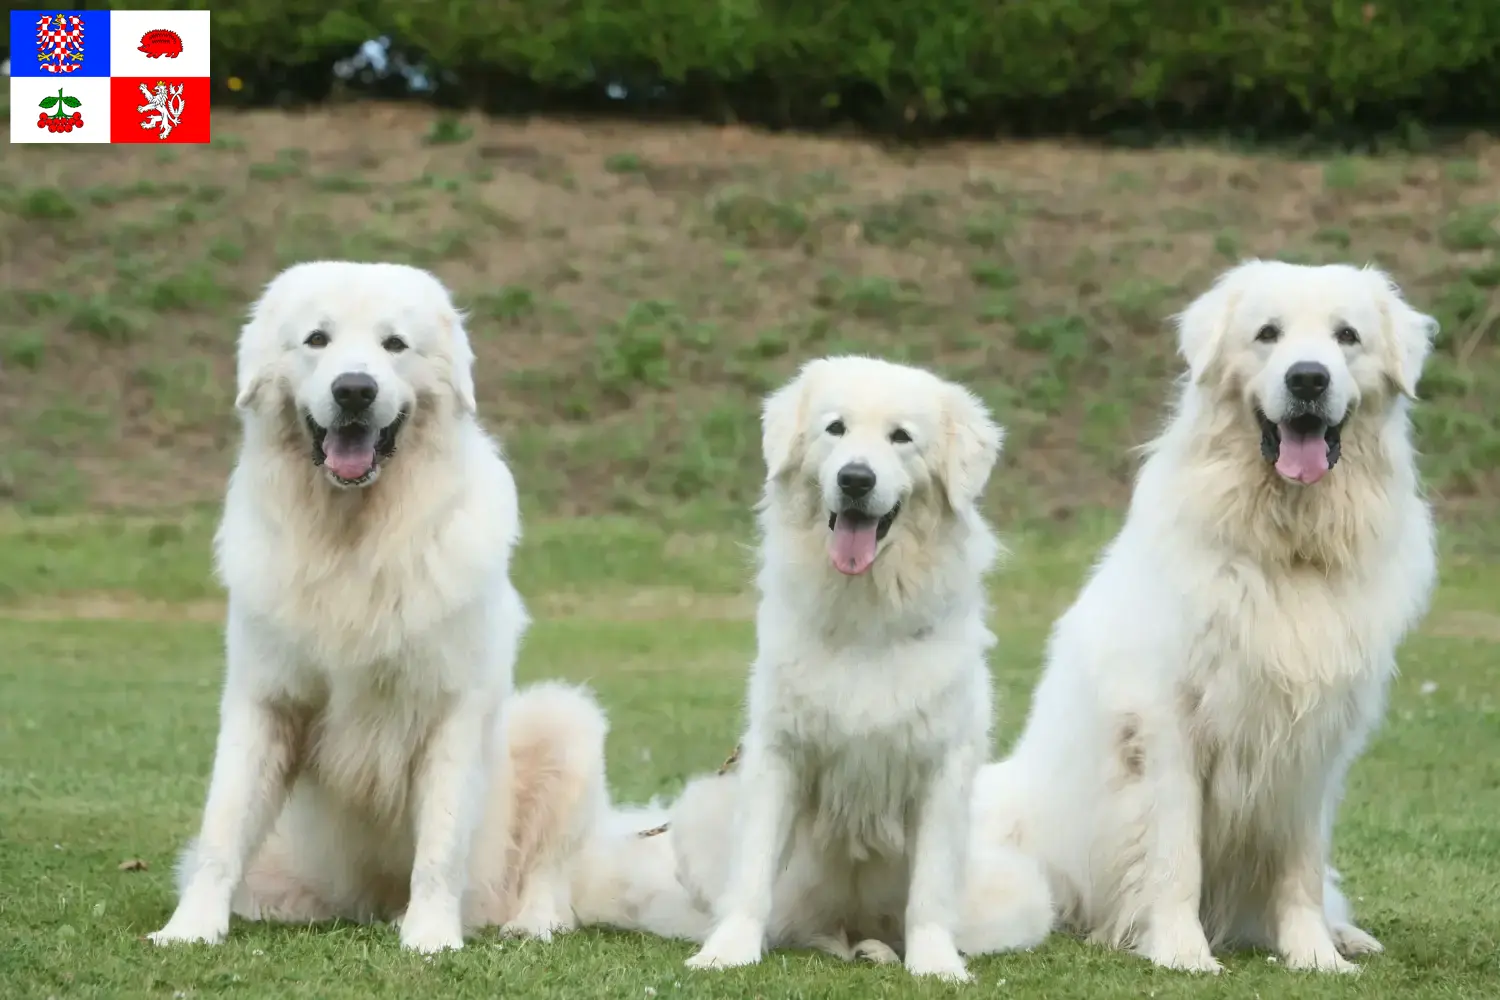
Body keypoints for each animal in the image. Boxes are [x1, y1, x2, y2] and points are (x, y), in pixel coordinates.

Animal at [146, 260, 603, 953]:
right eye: (317, 339)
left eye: (394, 344)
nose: (355, 391)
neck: (354, 541)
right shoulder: (265, 701)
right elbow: (222, 827)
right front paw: (189, 929)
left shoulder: (453, 710)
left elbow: (441, 840)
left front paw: (431, 937)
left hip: (565, 722)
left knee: (551, 873)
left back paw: (530, 922)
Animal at [573, 355, 1056, 983]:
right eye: (836, 429)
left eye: (901, 437)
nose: (855, 479)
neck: (865, 619)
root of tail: (842, 925)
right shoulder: (779, 754)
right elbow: (752, 874)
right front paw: (727, 952)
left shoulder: (942, 769)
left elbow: (929, 891)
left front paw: (935, 966)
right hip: (703, 812)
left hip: (1024, 893)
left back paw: (880, 950)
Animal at [978, 262, 1434, 971]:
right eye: (1268, 334)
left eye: (1347, 336)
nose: (1309, 378)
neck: (1286, 552)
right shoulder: (1168, 730)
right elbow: (1174, 859)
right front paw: (1180, 952)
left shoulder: (1315, 744)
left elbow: (1302, 868)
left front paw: (1315, 957)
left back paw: (1345, 935)